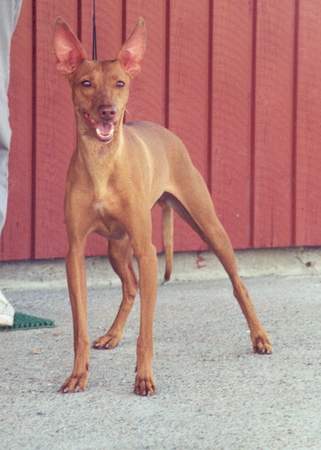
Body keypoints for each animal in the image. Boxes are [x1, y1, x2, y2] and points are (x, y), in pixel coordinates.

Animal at [52, 15, 270, 396]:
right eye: (86, 83)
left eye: (120, 83)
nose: (108, 112)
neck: (102, 163)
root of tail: (165, 131)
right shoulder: (74, 254)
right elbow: (79, 329)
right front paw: (78, 374)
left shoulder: (146, 251)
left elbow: (147, 332)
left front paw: (143, 377)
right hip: (116, 247)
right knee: (130, 288)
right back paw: (112, 335)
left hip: (208, 225)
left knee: (238, 283)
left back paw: (259, 337)